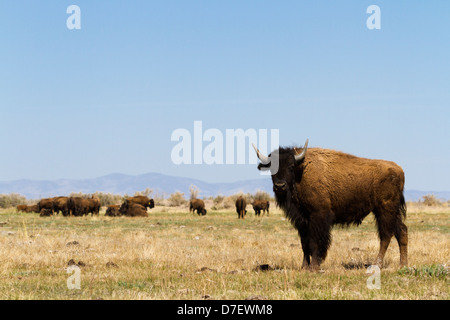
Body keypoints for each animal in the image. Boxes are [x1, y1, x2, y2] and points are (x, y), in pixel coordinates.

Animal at [253, 139, 408, 270]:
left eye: (291, 166)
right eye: (271, 168)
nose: (280, 186)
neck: (301, 172)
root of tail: (399, 169)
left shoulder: (318, 216)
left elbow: (314, 241)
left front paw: (314, 267)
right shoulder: (302, 220)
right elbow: (304, 243)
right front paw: (304, 267)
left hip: (384, 210)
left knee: (386, 236)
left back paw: (377, 265)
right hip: (392, 212)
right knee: (401, 231)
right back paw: (402, 265)